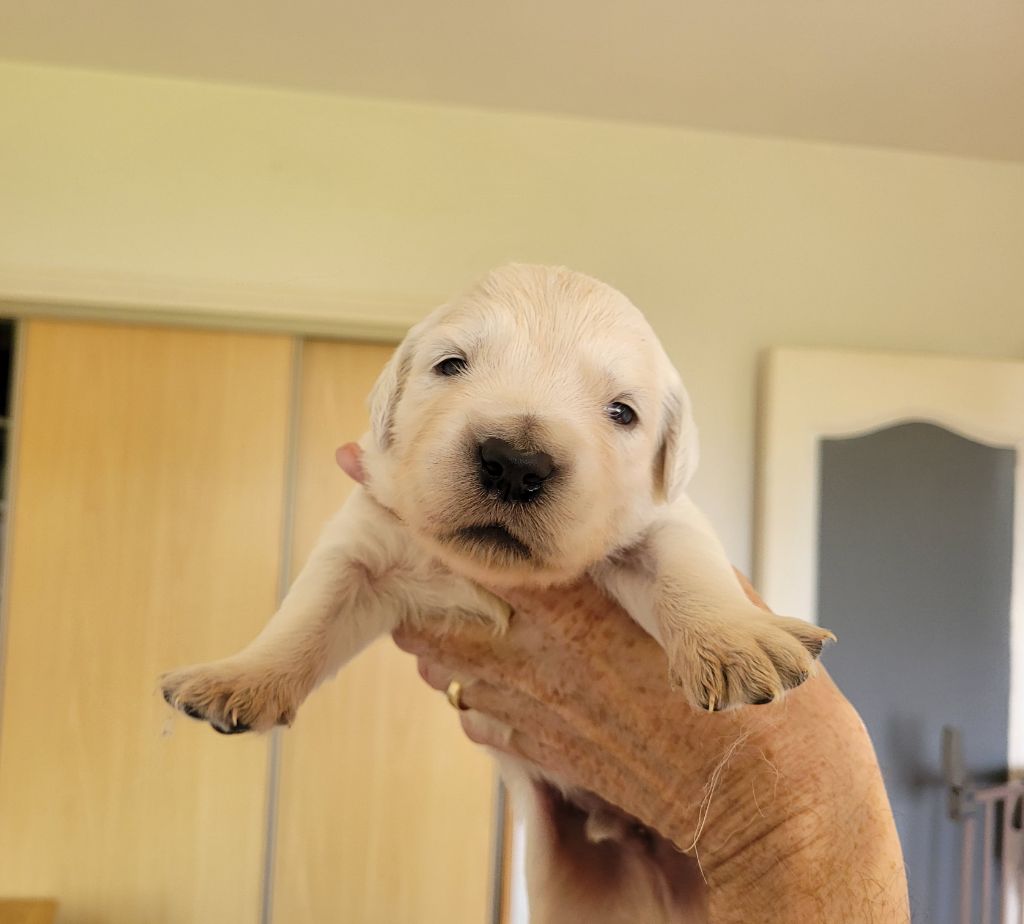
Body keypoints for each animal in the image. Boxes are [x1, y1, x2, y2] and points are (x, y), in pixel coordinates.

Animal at [161, 264, 832, 921]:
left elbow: (690, 570)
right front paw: (240, 677)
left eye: (622, 412)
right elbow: (306, 614)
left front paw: (735, 641)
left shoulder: (660, 523)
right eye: (450, 365)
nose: (514, 462)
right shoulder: (364, 543)